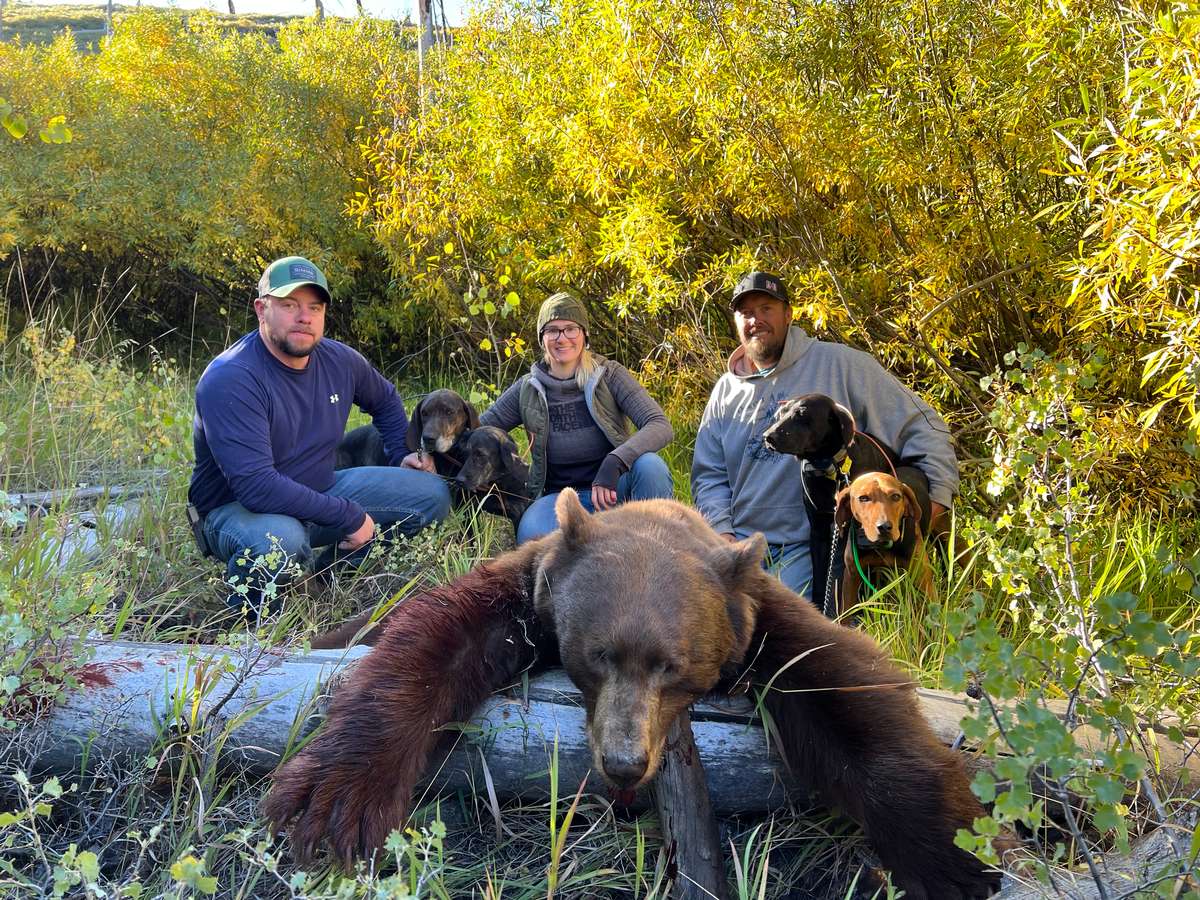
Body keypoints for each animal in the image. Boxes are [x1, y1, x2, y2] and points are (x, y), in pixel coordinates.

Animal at [267, 494, 1008, 900]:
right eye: (598, 656)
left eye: (674, 668)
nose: (625, 764)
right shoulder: (526, 591)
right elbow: (424, 640)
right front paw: (332, 804)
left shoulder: (762, 615)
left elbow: (846, 685)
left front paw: (957, 853)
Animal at [835, 472, 936, 614]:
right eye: (863, 498)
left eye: (896, 496)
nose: (884, 527)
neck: (882, 547)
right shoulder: (851, 575)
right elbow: (846, 613)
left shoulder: (923, 579)